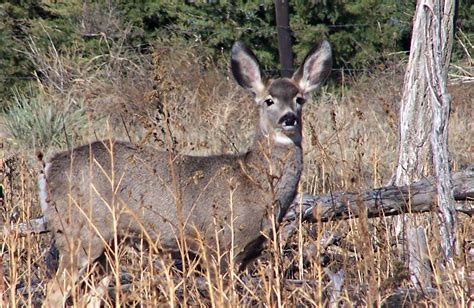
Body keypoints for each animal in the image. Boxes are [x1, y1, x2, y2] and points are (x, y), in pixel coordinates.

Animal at [39, 39, 330, 304]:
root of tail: (50, 169)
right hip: (79, 233)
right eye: (269, 100)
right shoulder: (217, 245)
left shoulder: (246, 253)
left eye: (299, 99)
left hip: (108, 247)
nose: (289, 118)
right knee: (53, 293)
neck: (253, 181)